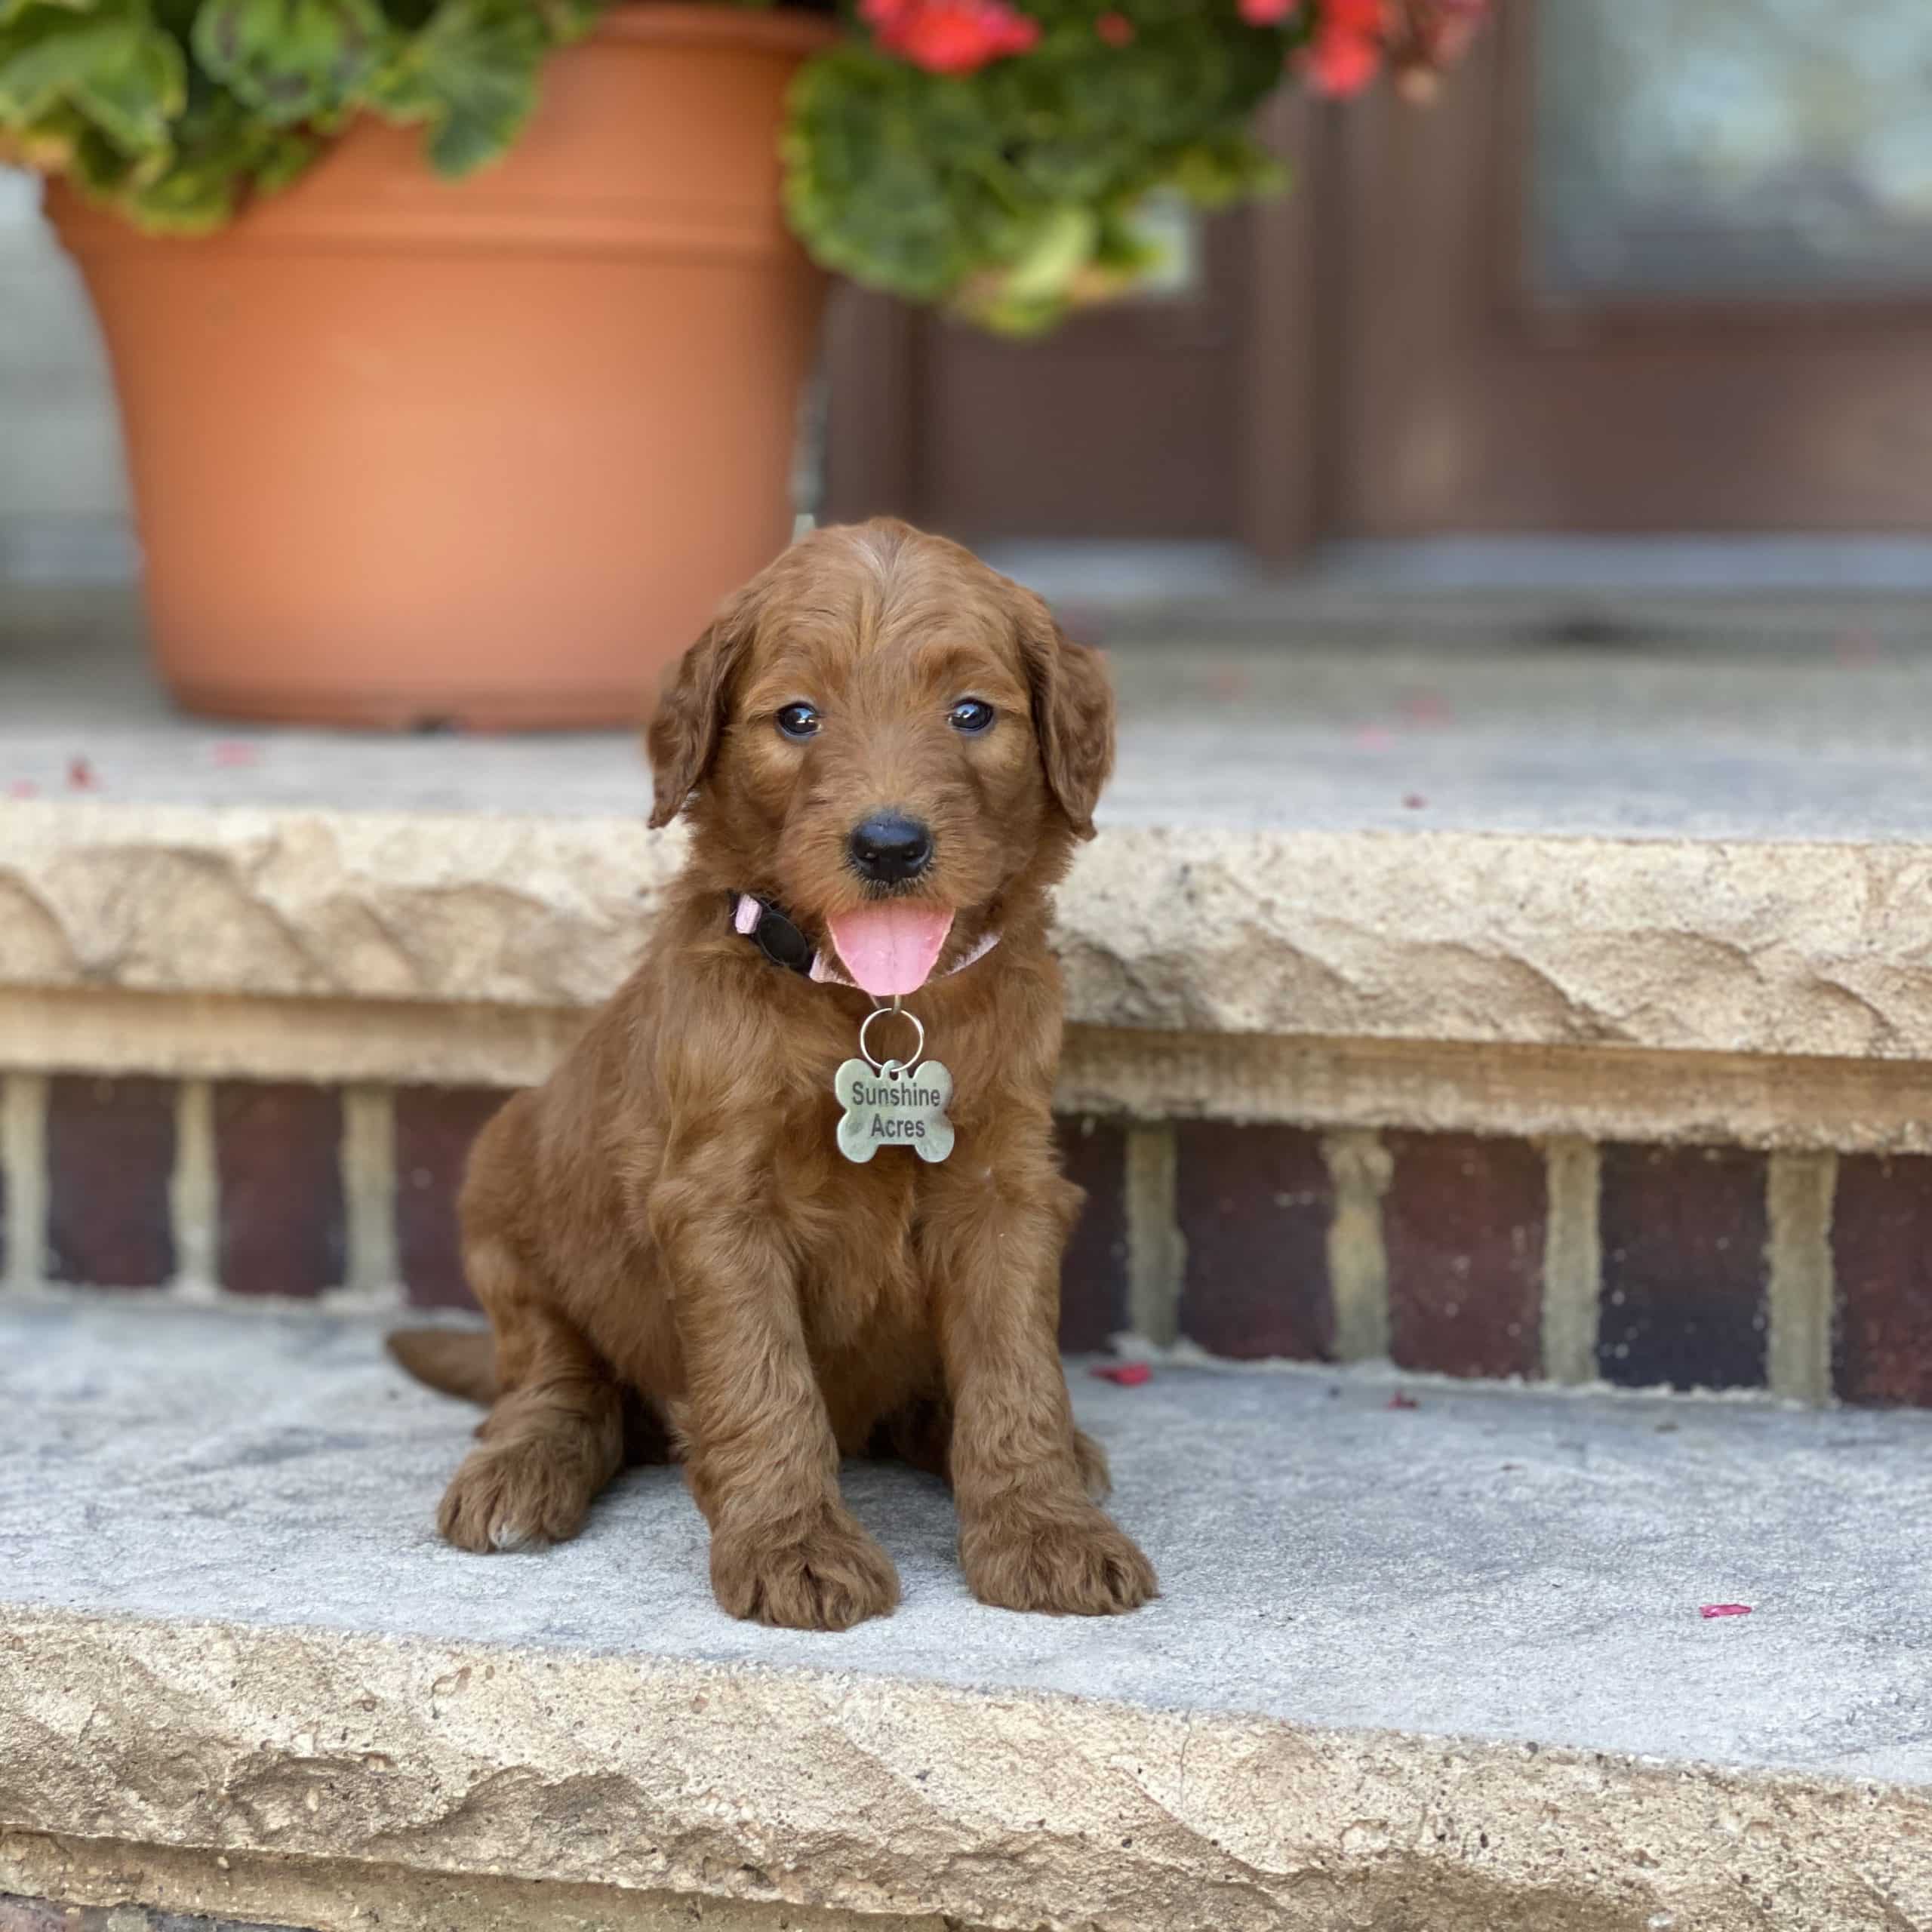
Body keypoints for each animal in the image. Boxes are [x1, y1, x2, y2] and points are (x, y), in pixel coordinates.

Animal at [384, 518, 1151, 1630]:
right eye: (797, 717)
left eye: (971, 713)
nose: (888, 845)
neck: (876, 1003)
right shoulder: (718, 1203)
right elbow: (761, 1377)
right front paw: (794, 1547)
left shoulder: (1007, 1187)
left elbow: (1016, 1370)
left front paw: (1042, 1526)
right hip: (505, 1193)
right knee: (557, 1382)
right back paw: (520, 1472)